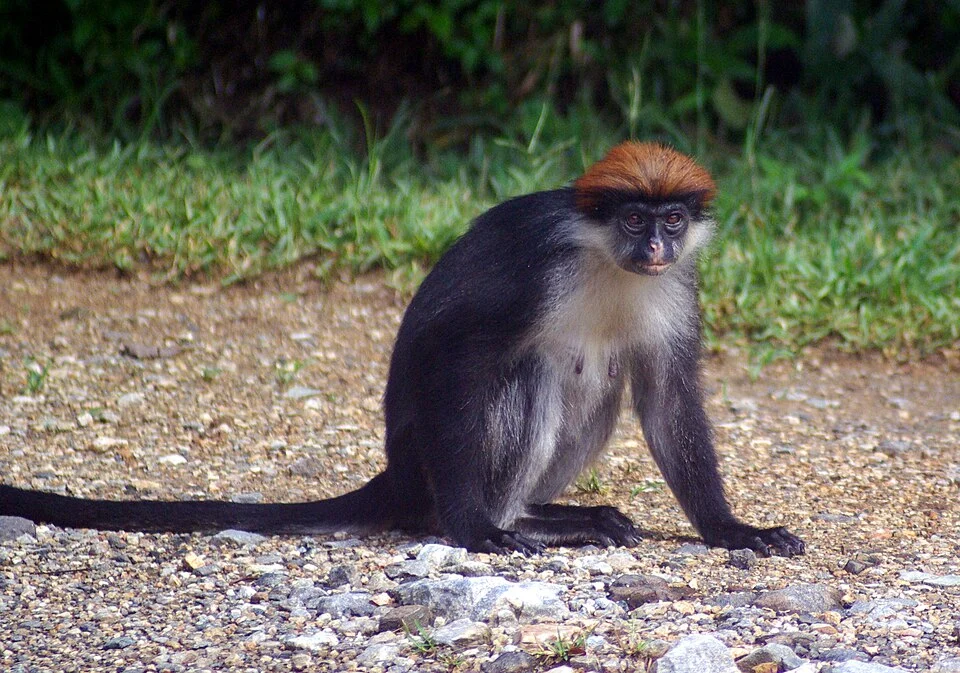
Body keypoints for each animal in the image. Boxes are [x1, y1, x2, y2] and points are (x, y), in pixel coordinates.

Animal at [0, 142, 804, 557]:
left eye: (672, 219)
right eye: (636, 218)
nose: (658, 246)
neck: (609, 259)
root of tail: (396, 474)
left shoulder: (678, 287)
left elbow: (669, 397)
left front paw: (731, 529)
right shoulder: (539, 268)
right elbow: (457, 352)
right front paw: (475, 530)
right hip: (428, 461)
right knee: (529, 369)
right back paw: (508, 520)